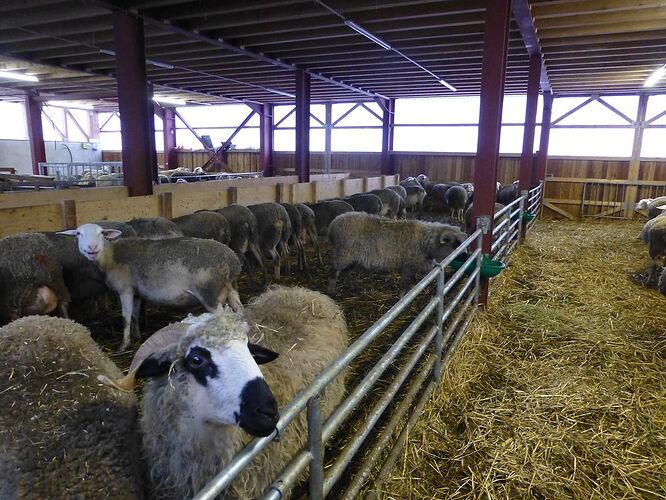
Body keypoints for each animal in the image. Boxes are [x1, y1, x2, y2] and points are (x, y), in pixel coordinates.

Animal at [57, 223, 241, 352]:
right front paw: (137, 336)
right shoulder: (137, 292)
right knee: (240, 310)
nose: (92, 248)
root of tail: (232, 260)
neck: (111, 256)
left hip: (211, 296)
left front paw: (123, 345)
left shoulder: (125, 290)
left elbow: (125, 318)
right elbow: (134, 315)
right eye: (78, 234)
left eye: (101, 233)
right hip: (230, 289)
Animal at [328, 210, 466, 294]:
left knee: (347, 271)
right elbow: (406, 286)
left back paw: (350, 287)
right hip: (342, 255)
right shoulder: (407, 267)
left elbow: (413, 282)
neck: (425, 243)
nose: (465, 256)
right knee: (333, 273)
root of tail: (334, 223)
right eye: (455, 243)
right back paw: (332, 292)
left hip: (351, 258)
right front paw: (404, 298)